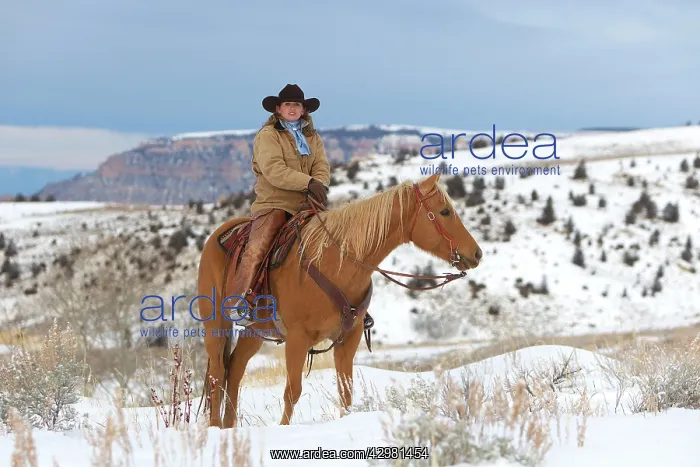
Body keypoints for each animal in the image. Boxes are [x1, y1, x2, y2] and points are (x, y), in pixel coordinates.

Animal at [195, 173, 482, 428]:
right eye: (445, 212)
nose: (477, 253)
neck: (338, 262)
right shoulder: (297, 339)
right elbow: (292, 391)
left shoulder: (348, 339)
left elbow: (346, 392)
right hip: (217, 326)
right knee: (217, 374)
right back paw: (216, 428)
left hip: (253, 332)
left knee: (235, 369)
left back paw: (230, 427)